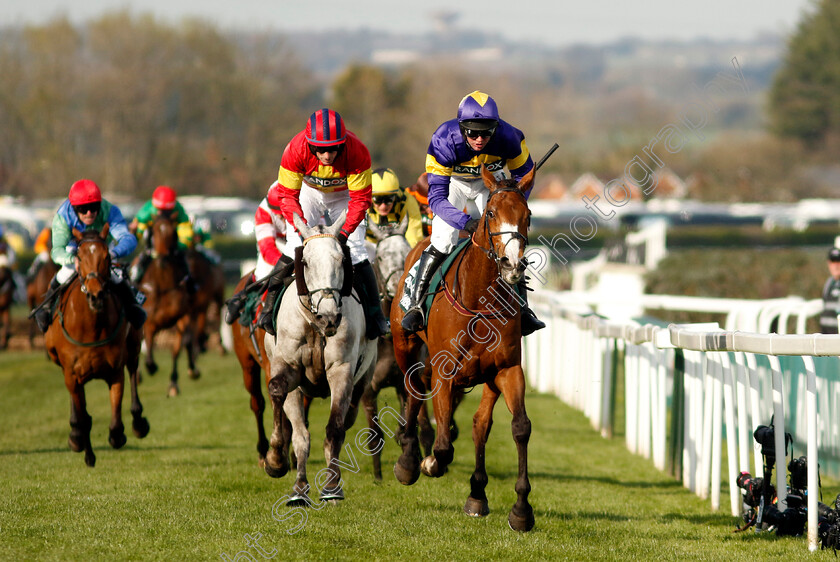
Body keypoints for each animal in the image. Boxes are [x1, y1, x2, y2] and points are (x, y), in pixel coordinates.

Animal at [43, 225, 148, 466]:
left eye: (107, 256)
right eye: (80, 257)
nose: (95, 294)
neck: (90, 327)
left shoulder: (115, 371)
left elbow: (116, 419)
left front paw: (118, 435)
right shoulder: (72, 374)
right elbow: (83, 417)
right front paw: (84, 448)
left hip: (134, 344)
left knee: (133, 370)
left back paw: (139, 422)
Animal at [137, 213, 198, 394]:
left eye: (173, 232)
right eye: (155, 231)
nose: (163, 258)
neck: (164, 283)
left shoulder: (182, 317)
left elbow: (180, 346)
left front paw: (178, 379)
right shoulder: (149, 321)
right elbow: (148, 345)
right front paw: (150, 366)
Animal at [266, 213, 378, 504]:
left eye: (342, 260)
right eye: (305, 261)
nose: (329, 317)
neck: (315, 325)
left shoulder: (342, 370)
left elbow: (335, 428)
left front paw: (332, 486)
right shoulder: (288, 368)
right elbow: (282, 400)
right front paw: (279, 464)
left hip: (364, 376)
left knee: (347, 418)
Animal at [390, 165, 536, 528]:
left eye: (527, 215)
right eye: (491, 213)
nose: (512, 264)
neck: (479, 300)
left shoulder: (506, 370)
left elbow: (519, 428)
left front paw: (521, 509)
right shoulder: (445, 374)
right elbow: (443, 446)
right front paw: (426, 462)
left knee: (480, 424)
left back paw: (477, 493)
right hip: (404, 344)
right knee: (412, 388)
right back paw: (409, 458)